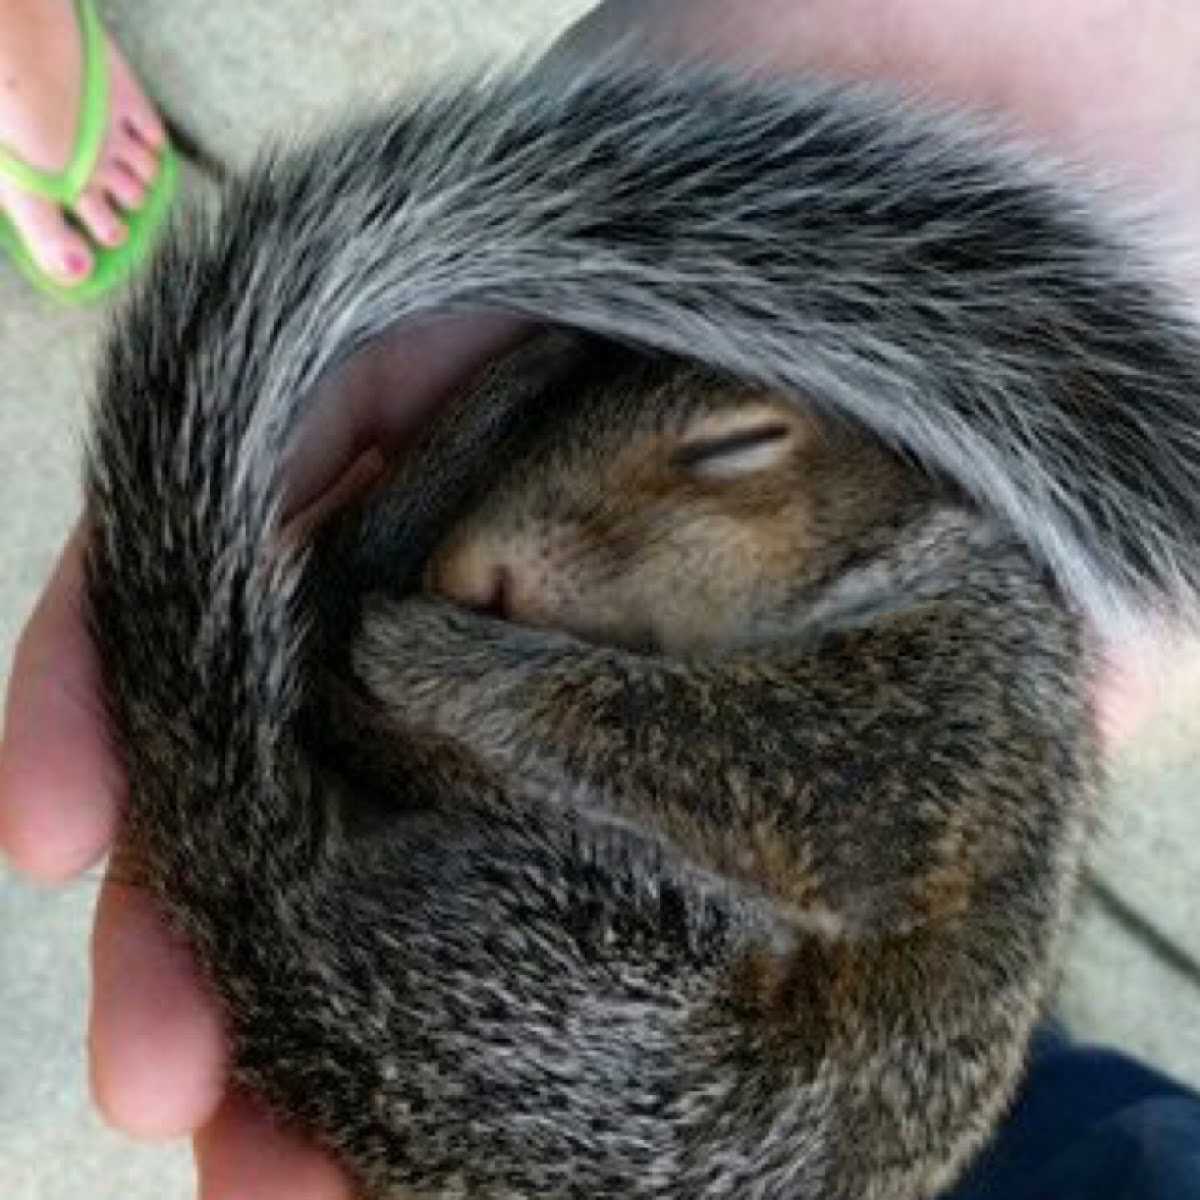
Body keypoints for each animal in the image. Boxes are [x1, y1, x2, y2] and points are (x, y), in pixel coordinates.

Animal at [82, 58, 1200, 1200]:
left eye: (735, 445)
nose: (470, 574)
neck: (910, 559)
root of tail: (281, 951)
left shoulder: (947, 716)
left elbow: (731, 748)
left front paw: (437, 655)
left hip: (601, 968)